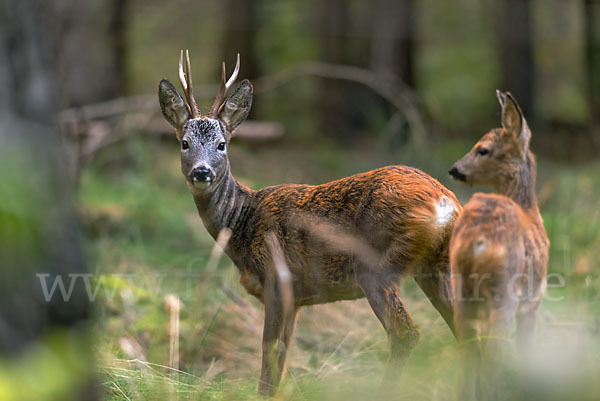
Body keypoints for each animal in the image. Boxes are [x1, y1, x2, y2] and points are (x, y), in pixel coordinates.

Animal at [157, 50, 462, 394]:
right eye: (184, 142)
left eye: (222, 144)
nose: (202, 172)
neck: (243, 222)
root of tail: (444, 201)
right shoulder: (298, 299)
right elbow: (282, 357)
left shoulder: (278, 280)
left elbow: (269, 354)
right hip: (435, 266)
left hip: (376, 266)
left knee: (406, 333)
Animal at [450, 90, 548, 400]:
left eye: (482, 150)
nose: (454, 169)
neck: (529, 210)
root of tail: (476, 242)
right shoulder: (533, 300)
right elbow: (528, 350)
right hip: (503, 293)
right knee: (494, 356)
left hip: (461, 291)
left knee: (468, 354)